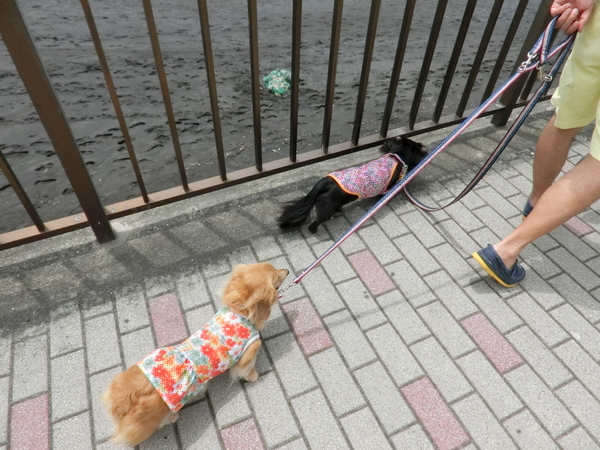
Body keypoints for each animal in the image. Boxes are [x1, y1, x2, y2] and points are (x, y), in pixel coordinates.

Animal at [101, 262, 288, 444]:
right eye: (276, 276)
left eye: (274, 267)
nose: (286, 270)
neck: (240, 313)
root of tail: (123, 401)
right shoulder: (247, 355)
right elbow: (247, 369)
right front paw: (254, 376)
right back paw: (172, 418)